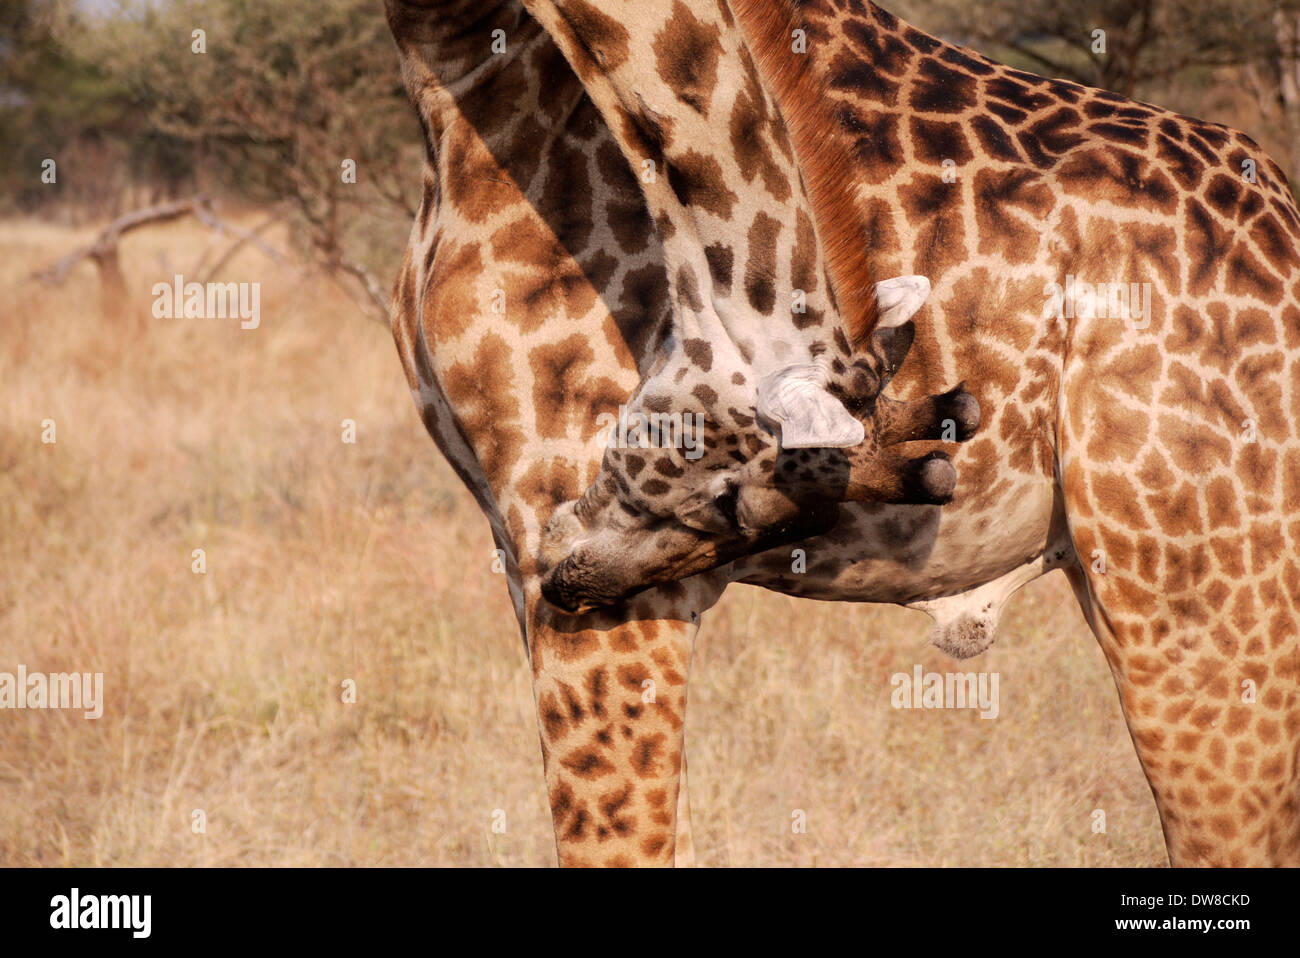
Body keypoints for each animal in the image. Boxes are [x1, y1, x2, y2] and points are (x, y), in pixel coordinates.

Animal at [385, 0, 1300, 866]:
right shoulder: (515, 544)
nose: (575, 579)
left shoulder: (585, 554)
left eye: (730, 507)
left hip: (1197, 596)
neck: (453, 55)